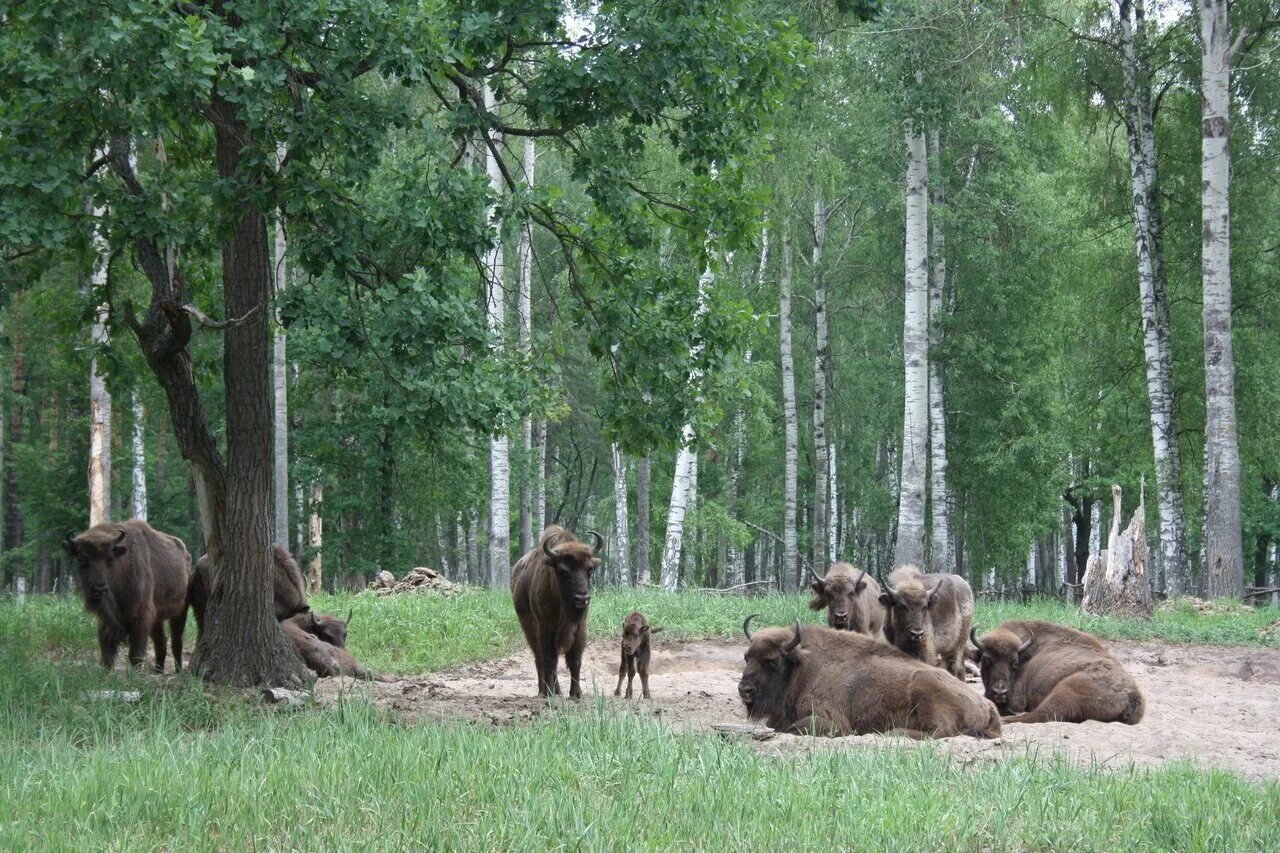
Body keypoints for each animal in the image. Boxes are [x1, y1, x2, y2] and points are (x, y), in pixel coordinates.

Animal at [61, 517, 192, 671]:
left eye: (110, 559)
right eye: (82, 559)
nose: (99, 589)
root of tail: (186, 554)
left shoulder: (142, 616)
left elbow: (136, 653)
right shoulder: (108, 621)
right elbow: (106, 650)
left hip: (180, 611)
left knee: (176, 640)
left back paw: (178, 670)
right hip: (158, 617)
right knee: (160, 641)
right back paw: (158, 670)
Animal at [509, 522, 599, 696]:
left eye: (590, 569)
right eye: (563, 571)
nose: (582, 598)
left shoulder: (579, 628)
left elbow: (574, 660)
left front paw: (576, 693)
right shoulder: (546, 628)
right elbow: (550, 660)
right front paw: (548, 693)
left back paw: (556, 690)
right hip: (529, 629)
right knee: (539, 659)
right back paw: (545, 691)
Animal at [742, 612, 998, 737]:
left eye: (772, 661)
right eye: (746, 657)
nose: (744, 690)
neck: (804, 666)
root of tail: (987, 704)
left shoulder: (832, 722)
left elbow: (792, 728)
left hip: (925, 686)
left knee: (939, 731)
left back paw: (893, 732)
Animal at [967, 617, 1152, 722]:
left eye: (1015, 662)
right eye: (986, 660)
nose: (1000, 692)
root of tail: (1133, 695)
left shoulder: (1016, 699)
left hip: (1064, 691)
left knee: (1037, 715)